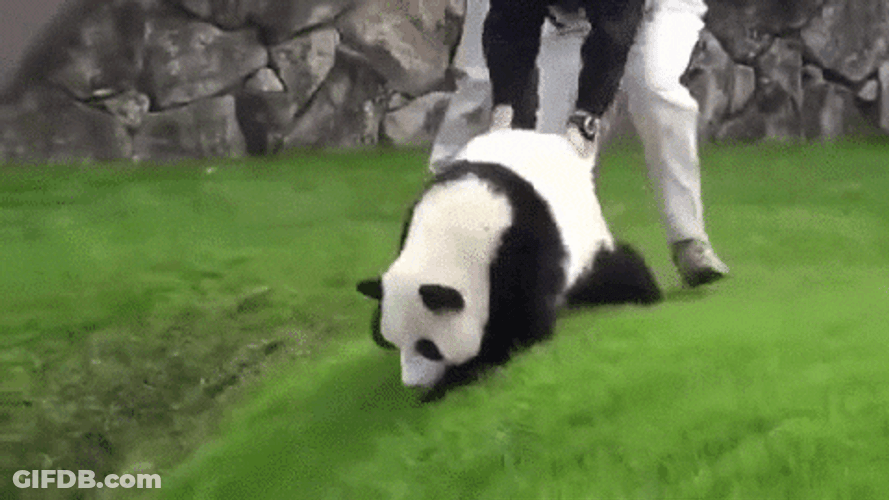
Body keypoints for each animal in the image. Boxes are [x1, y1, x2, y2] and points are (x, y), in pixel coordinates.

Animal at [357, 128, 661, 401]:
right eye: (392, 342)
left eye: (428, 347)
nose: (412, 384)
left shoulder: (522, 246)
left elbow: (519, 327)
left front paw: (451, 381)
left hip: (582, 233)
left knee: (611, 273)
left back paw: (646, 292)